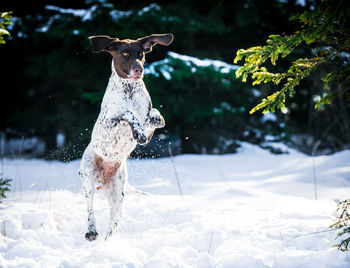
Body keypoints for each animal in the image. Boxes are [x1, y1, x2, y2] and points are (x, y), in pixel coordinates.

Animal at [78, 31, 173, 241]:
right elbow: (127, 114)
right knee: (90, 209)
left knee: (111, 228)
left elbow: (156, 117)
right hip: (87, 179)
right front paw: (136, 129)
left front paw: (143, 129)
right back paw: (91, 231)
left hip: (117, 199)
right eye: (125, 53)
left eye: (141, 54)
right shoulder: (107, 127)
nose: (139, 69)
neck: (129, 90)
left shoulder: (151, 119)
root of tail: (102, 181)